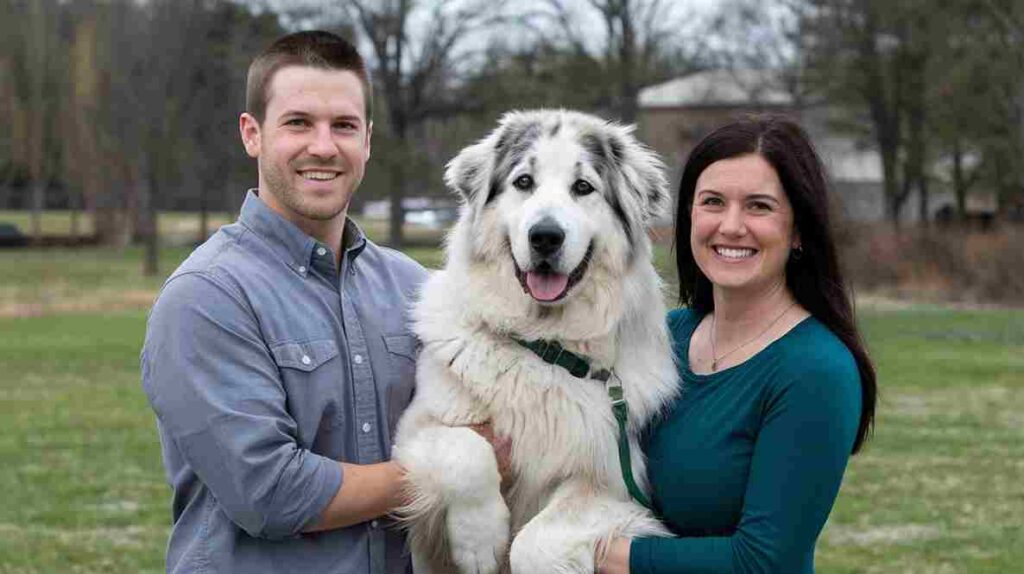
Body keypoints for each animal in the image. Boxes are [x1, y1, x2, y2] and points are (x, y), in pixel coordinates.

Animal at [395, 109, 675, 568]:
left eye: (583, 187)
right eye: (524, 182)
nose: (545, 236)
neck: (544, 346)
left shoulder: (611, 482)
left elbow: (534, 543)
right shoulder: (415, 428)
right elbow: (466, 449)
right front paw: (479, 539)